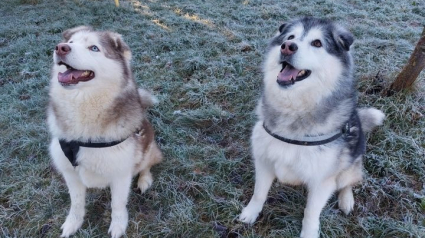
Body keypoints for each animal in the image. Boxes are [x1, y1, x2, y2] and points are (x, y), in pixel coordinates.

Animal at [48, 26, 162, 238]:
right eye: (71, 42)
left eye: (94, 48)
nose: (61, 48)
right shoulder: (69, 172)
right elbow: (76, 203)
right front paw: (73, 223)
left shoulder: (121, 173)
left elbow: (117, 204)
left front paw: (118, 226)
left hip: (148, 148)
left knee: (147, 164)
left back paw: (144, 179)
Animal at [238, 17, 384, 238]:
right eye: (290, 37)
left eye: (317, 43)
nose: (287, 47)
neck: (294, 109)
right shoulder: (263, 160)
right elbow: (258, 193)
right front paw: (250, 213)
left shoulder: (322, 180)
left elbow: (311, 211)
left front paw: (308, 233)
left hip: (350, 163)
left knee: (348, 181)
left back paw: (346, 200)